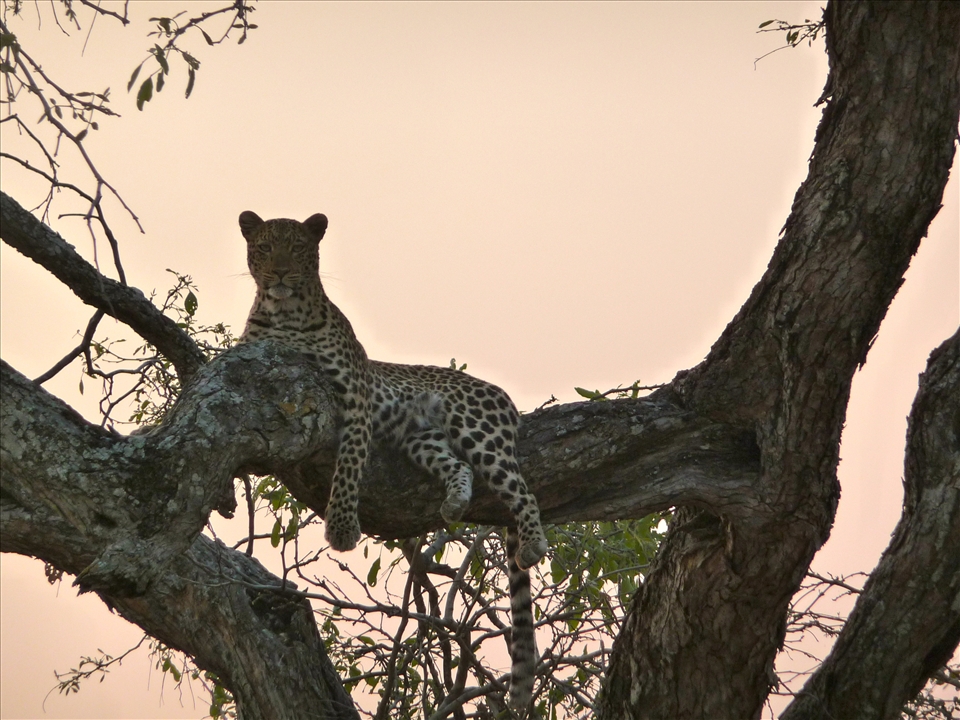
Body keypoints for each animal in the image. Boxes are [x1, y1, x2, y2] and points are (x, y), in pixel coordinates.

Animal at [237, 211, 548, 710]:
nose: (280, 274)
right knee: (460, 466)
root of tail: (502, 395)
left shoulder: (355, 398)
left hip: (477, 428)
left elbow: (348, 468)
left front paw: (342, 529)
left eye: (298, 248)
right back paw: (454, 504)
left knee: (522, 490)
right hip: (423, 439)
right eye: (264, 247)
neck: (285, 314)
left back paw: (533, 543)